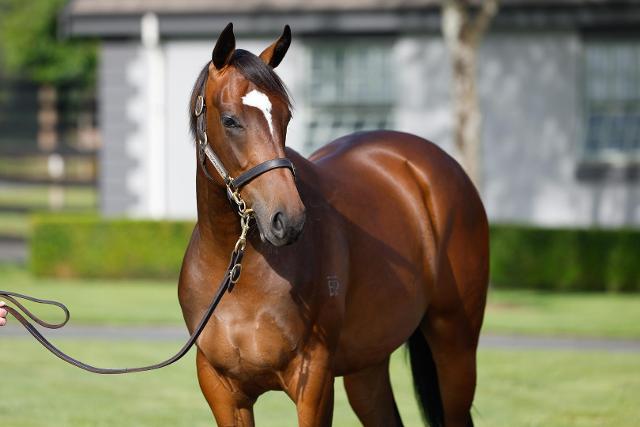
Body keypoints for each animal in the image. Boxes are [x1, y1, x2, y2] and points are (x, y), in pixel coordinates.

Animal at [178, 23, 489, 427]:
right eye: (230, 120)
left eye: (286, 118)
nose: (288, 219)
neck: (239, 277)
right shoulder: (222, 389)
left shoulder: (314, 379)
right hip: (367, 365)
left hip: (455, 348)